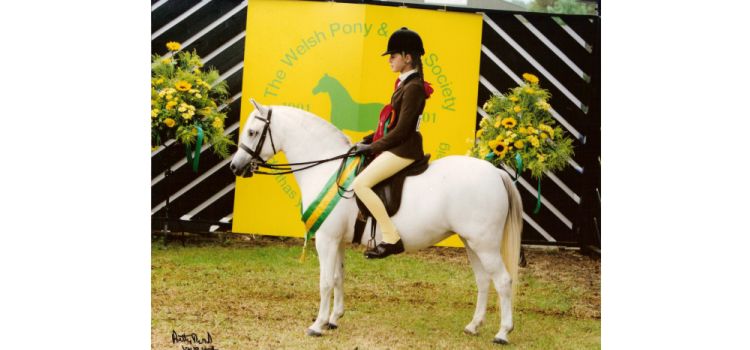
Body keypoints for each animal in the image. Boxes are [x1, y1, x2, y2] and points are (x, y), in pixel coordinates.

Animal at [229, 99, 524, 344]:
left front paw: (317, 325)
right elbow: (338, 277)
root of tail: (496, 173)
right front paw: (334, 319)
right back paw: (473, 326)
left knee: (502, 281)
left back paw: (502, 333)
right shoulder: (338, 241)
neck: (326, 168)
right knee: (484, 280)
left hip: (484, 244)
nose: (235, 166)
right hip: (471, 242)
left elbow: (325, 282)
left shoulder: (326, 239)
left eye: (252, 132)